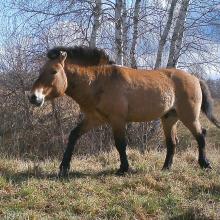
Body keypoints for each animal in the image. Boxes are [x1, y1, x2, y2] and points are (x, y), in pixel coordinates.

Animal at [29, 46, 220, 177]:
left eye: (53, 71)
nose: (34, 97)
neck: (99, 81)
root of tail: (195, 78)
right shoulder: (94, 119)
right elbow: (74, 135)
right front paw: (64, 168)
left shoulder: (117, 120)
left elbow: (120, 144)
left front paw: (123, 168)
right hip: (169, 118)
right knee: (172, 143)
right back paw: (166, 168)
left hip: (189, 116)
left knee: (201, 135)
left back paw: (205, 164)